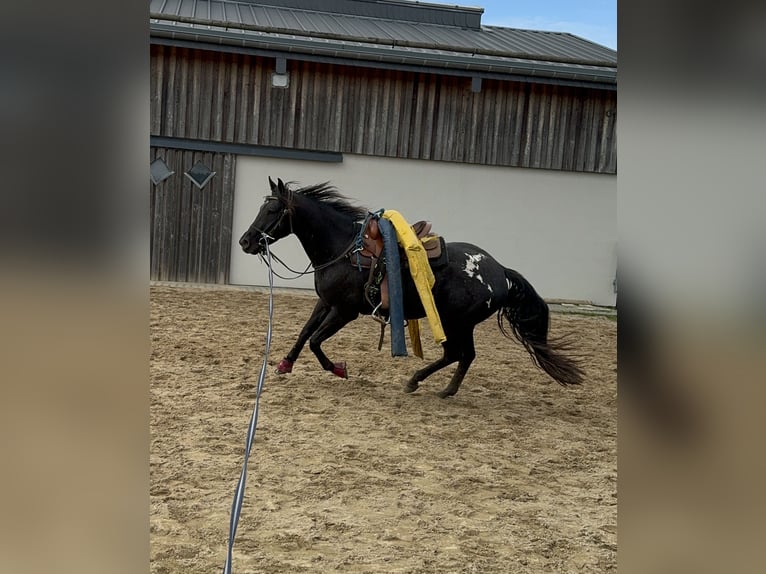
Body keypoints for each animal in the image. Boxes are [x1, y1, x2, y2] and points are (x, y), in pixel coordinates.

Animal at [240, 178, 584, 398]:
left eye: (272, 211)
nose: (245, 241)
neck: (343, 248)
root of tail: (500, 271)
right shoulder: (325, 302)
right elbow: (304, 334)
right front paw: (285, 364)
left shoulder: (345, 311)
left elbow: (315, 341)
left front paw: (337, 369)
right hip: (458, 323)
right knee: (464, 356)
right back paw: (441, 388)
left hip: (455, 322)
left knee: (457, 354)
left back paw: (420, 382)